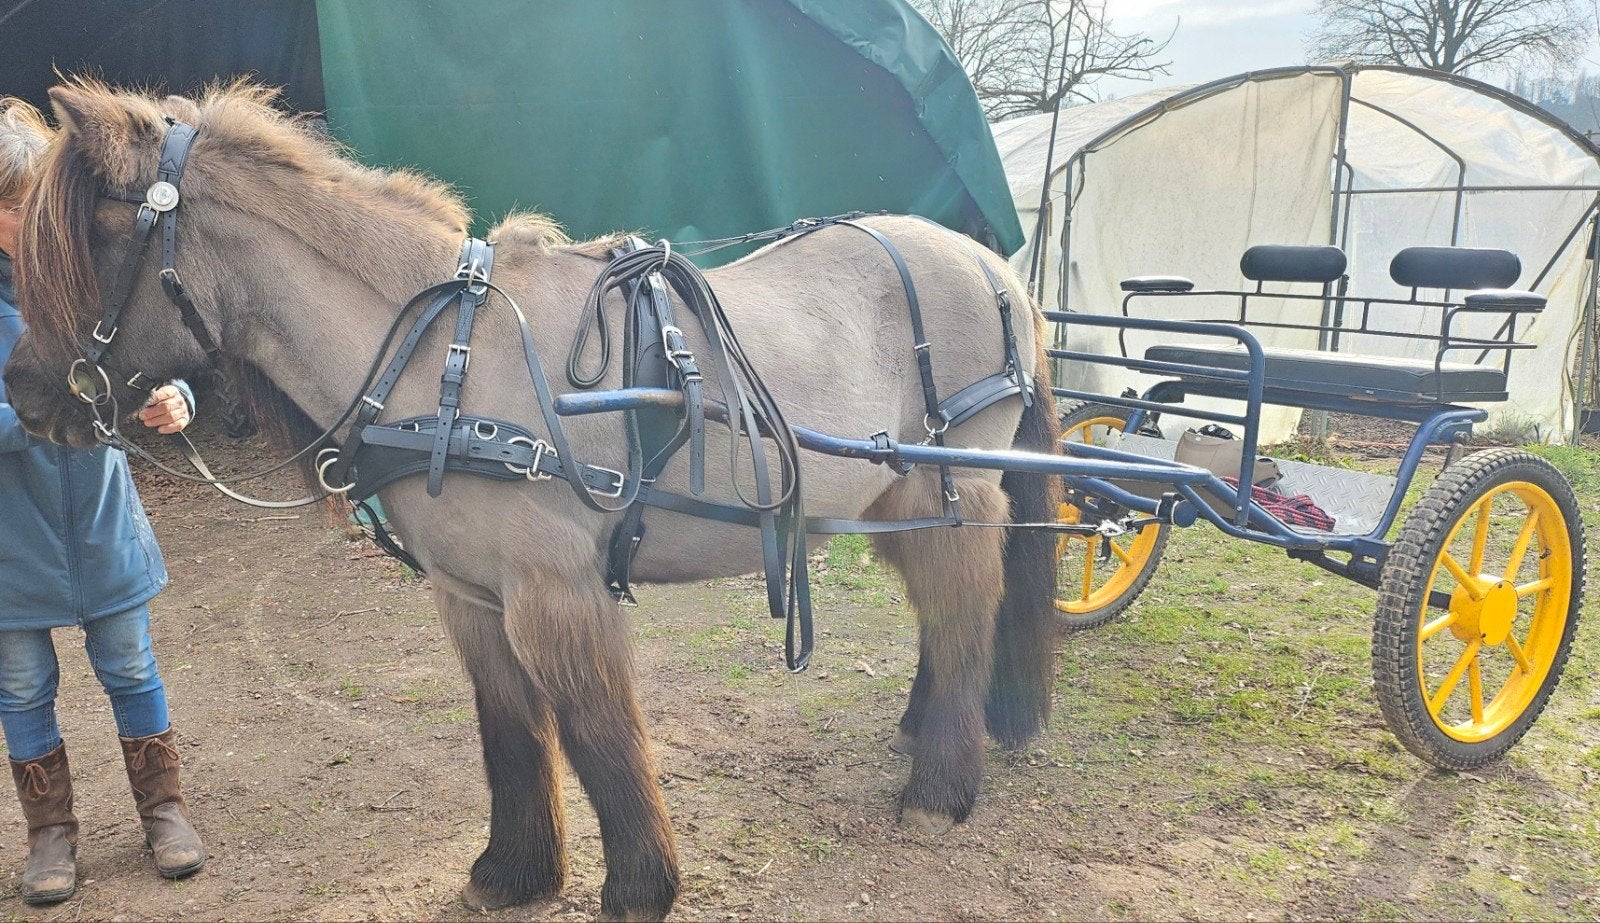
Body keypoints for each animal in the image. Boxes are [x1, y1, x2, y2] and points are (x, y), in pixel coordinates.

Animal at [3, 80, 1062, 921]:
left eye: (90, 238)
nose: (24, 394)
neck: (446, 357)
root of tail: (991, 266)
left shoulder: (556, 591)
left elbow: (597, 735)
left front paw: (638, 888)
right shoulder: (472, 596)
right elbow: (510, 731)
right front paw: (512, 872)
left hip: (952, 484)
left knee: (966, 608)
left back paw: (941, 784)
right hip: (895, 500)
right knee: (946, 615)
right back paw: (929, 731)